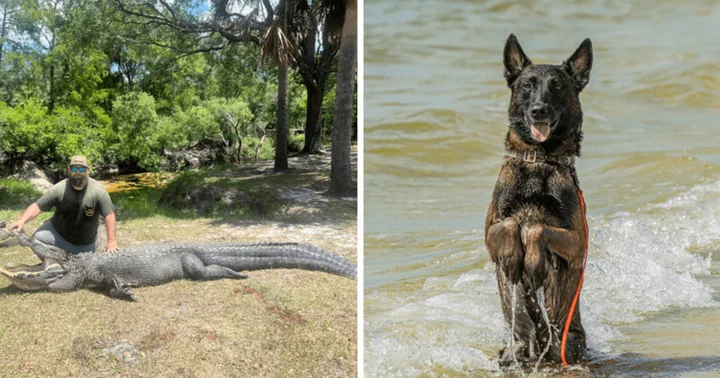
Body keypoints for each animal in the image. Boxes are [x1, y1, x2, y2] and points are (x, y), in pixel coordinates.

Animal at [486, 34, 592, 366]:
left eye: (556, 87)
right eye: (528, 85)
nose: (539, 110)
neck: (539, 161)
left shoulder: (577, 245)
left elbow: (536, 228)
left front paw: (532, 262)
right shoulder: (490, 234)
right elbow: (510, 224)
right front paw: (513, 256)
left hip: (569, 343)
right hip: (515, 346)